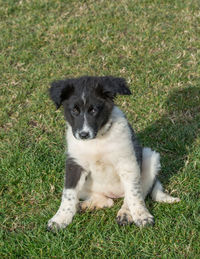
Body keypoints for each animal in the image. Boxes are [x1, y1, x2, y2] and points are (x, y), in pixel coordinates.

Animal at [47, 75, 180, 232]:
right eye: (74, 111)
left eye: (94, 110)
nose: (83, 134)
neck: (97, 140)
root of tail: (114, 194)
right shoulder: (74, 164)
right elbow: (68, 194)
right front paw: (60, 219)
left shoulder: (127, 163)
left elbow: (134, 194)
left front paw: (142, 216)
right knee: (106, 201)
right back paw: (84, 206)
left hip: (150, 158)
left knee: (133, 194)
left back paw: (126, 213)